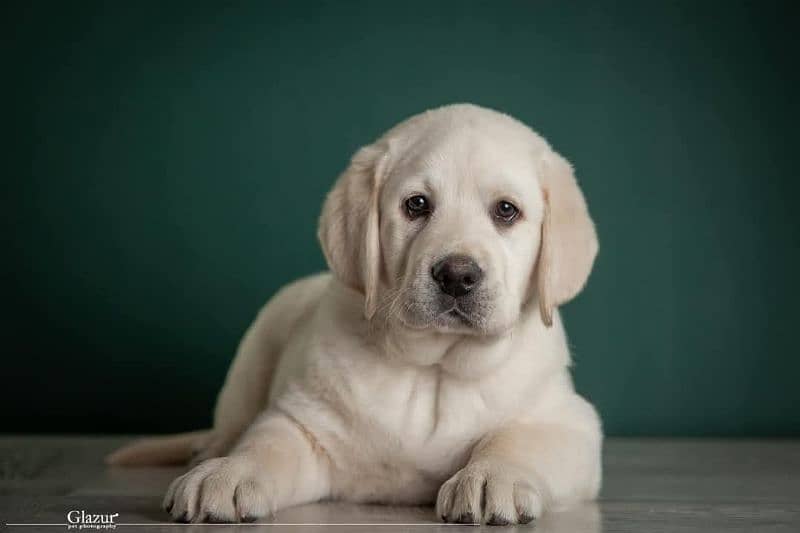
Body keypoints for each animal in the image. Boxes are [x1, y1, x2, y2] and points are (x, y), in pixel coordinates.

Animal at [109, 104, 604, 524]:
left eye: (506, 211)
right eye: (416, 205)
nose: (457, 276)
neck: (433, 370)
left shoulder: (568, 422)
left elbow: (519, 440)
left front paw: (490, 476)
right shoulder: (304, 421)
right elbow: (266, 445)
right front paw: (228, 473)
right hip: (250, 361)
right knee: (232, 423)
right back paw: (209, 451)